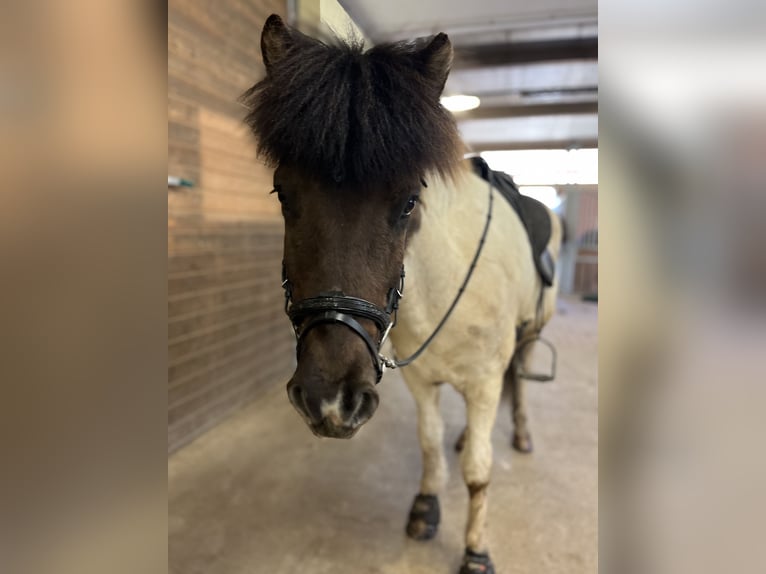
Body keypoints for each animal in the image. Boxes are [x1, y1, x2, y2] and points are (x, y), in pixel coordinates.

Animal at [246, 14, 564, 574]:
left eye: (410, 201)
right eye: (283, 194)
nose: (331, 400)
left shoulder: (484, 382)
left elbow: (479, 469)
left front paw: (475, 550)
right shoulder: (422, 382)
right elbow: (431, 445)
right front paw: (425, 509)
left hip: (529, 335)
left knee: (520, 382)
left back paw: (521, 433)